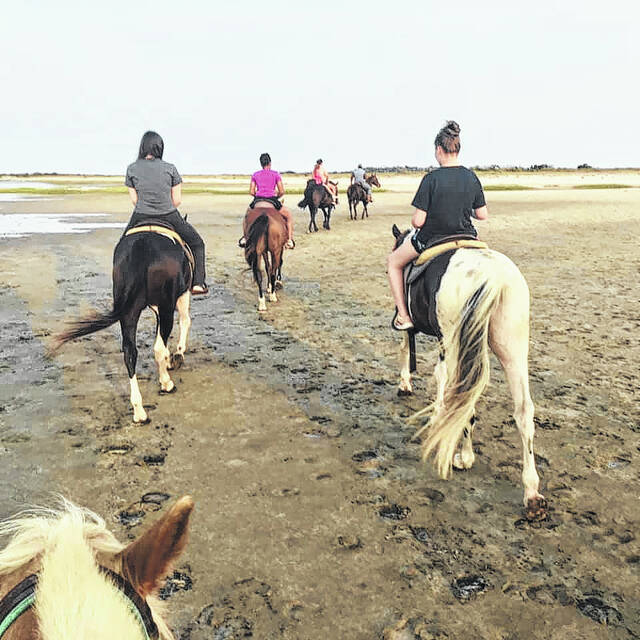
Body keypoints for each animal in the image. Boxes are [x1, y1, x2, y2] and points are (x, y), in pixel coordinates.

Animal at [52, 229, 192, 424]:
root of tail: (142, 246)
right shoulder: (182, 295)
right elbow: (185, 321)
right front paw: (177, 356)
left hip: (129, 312)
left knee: (129, 353)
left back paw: (139, 411)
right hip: (164, 307)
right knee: (158, 348)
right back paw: (166, 384)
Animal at [392, 225, 548, 520]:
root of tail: (492, 276)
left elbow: (407, 347)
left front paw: (406, 385)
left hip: (457, 348)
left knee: (458, 401)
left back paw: (462, 457)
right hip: (513, 348)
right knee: (523, 411)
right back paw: (532, 493)